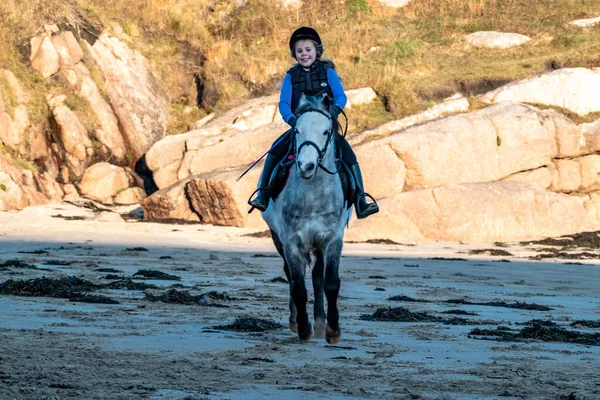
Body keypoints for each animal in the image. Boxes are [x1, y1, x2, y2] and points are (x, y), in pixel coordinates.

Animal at [262, 94, 352, 344]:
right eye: (297, 130)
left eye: (325, 131)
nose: (306, 166)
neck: (312, 194)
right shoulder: (291, 241)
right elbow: (298, 287)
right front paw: (303, 329)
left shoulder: (331, 239)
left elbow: (330, 283)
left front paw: (333, 330)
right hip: (278, 239)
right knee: (292, 277)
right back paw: (296, 321)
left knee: (317, 277)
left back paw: (320, 323)